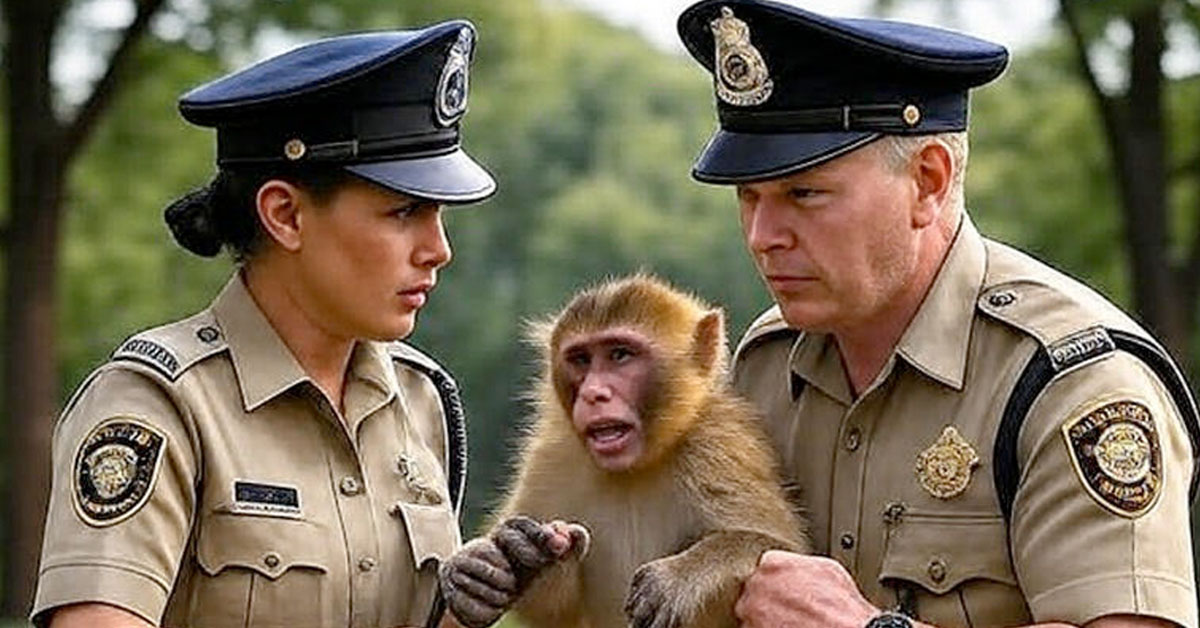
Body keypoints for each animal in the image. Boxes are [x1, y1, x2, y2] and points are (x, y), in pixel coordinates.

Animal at [439, 274, 809, 628]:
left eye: (620, 355)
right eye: (581, 359)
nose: (593, 393)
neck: (636, 467)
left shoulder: (720, 449)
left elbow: (786, 553)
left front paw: (683, 574)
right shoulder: (552, 458)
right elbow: (558, 611)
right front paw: (517, 561)